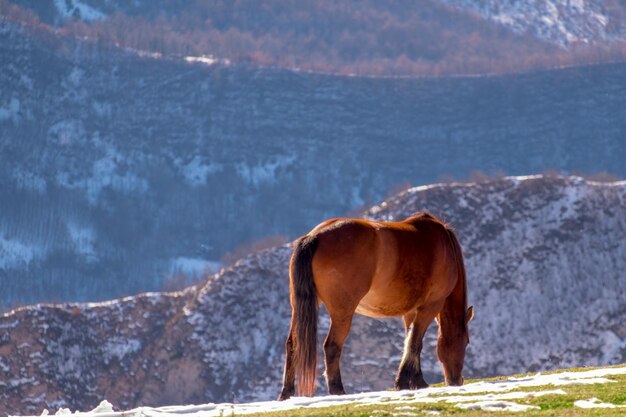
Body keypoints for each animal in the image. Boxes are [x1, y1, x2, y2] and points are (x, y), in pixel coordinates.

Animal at [278, 213, 472, 398]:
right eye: (466, 342)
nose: (457, 380)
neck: (443, 245)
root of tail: (315, 236)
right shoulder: (430, 306)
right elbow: (415, 343)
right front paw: (404, 382)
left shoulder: (410, 312)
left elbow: (409, 342)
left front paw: (416, 381)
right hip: (342, 312)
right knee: (332, 346)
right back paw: (338, 390)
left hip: (299, 309)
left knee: (293, 344)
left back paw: (286, 393)